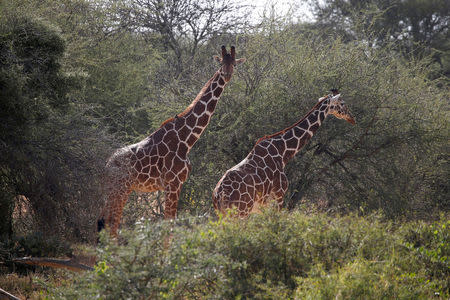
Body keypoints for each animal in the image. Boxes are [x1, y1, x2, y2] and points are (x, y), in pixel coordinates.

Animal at [100, 45, 246, 236]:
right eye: (221, 63)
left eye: (234, 64)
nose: (227, 75)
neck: (186, 139)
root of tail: (107, 165)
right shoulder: (173, 183)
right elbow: (169, 223)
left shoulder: (175, 185)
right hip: (120, 190)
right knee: (112, 224)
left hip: (117, 191)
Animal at [213, 90, 356, 217]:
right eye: (342, 103)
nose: (352, 118)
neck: (283, 152)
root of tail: (220, 194)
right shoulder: (279, 197)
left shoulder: (262, 206)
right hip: (241, 211)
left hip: (224, 214)